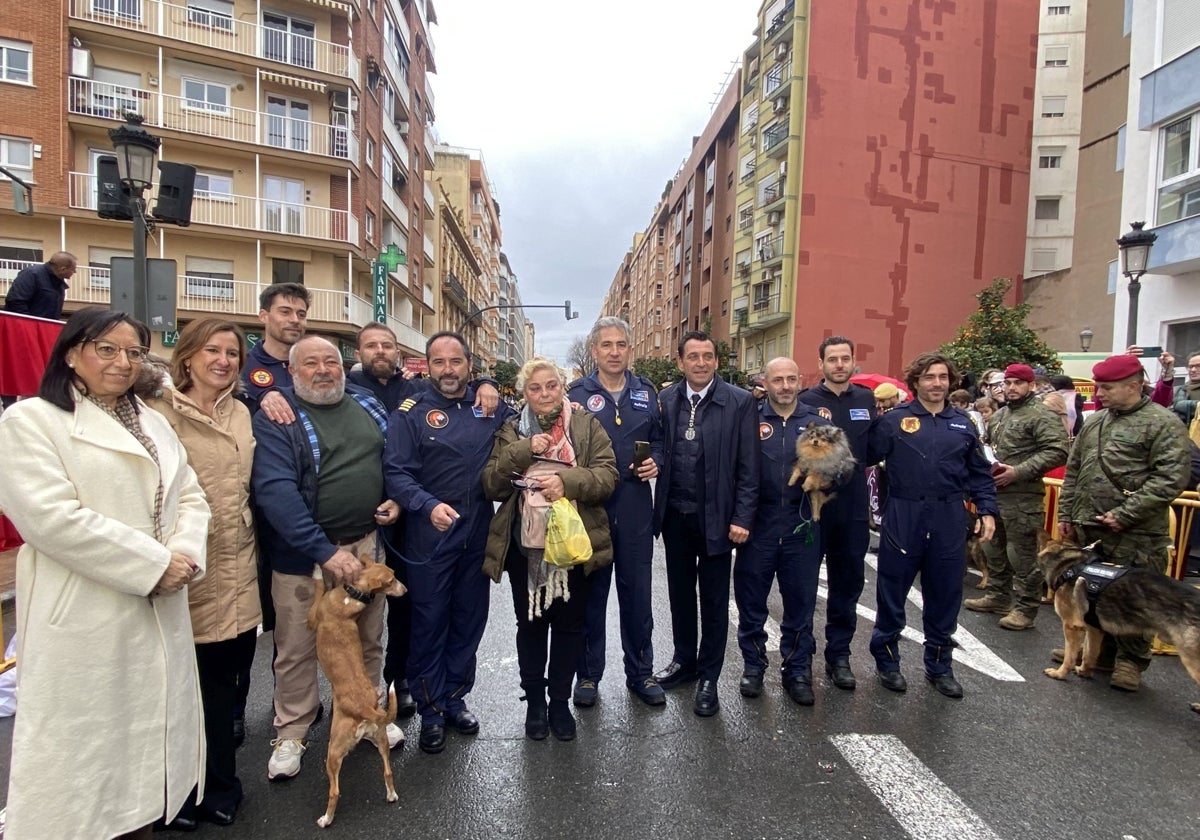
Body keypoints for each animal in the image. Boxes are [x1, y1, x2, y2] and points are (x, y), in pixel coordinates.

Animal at [304, 552, 408, 825]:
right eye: (392, 579)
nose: (405, 590)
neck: (353, 593)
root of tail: (366, 709)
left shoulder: (312, 617)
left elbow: (318, 586)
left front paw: (317, 569)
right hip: (381, 740)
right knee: (388, 772)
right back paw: (391, 795)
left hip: (334, 751)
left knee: (335, 791)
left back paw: (326, 819)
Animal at [1036, 542, 1200, 710]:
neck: (1071, 563)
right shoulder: (1094, 629)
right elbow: (1089, 653)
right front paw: (1084, 671)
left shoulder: (1071, 626)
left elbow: (1069, 657)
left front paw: (1059, 673)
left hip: (1192, 659)